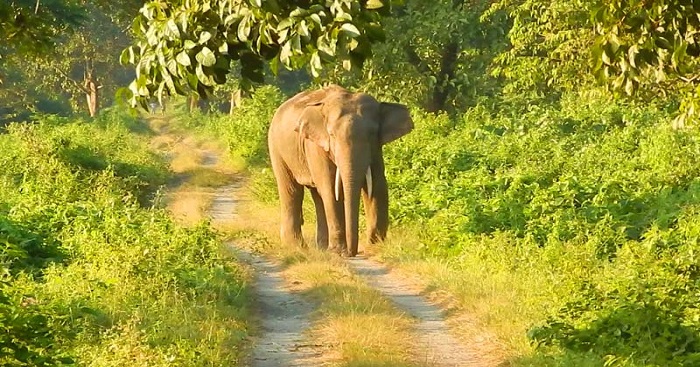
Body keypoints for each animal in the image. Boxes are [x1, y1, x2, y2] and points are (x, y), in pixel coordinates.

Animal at [266, 85, 410, 258]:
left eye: (372, 134)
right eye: (332, 135)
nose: (352, 253)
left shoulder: (376, 149)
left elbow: (378, 186)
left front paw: (375, 247)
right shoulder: (315, 145)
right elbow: (330, 189)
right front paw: (339, 252)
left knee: (317, 195)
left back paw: (322, 247)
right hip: (277, 148)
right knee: (292, 190)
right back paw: (298, 247)